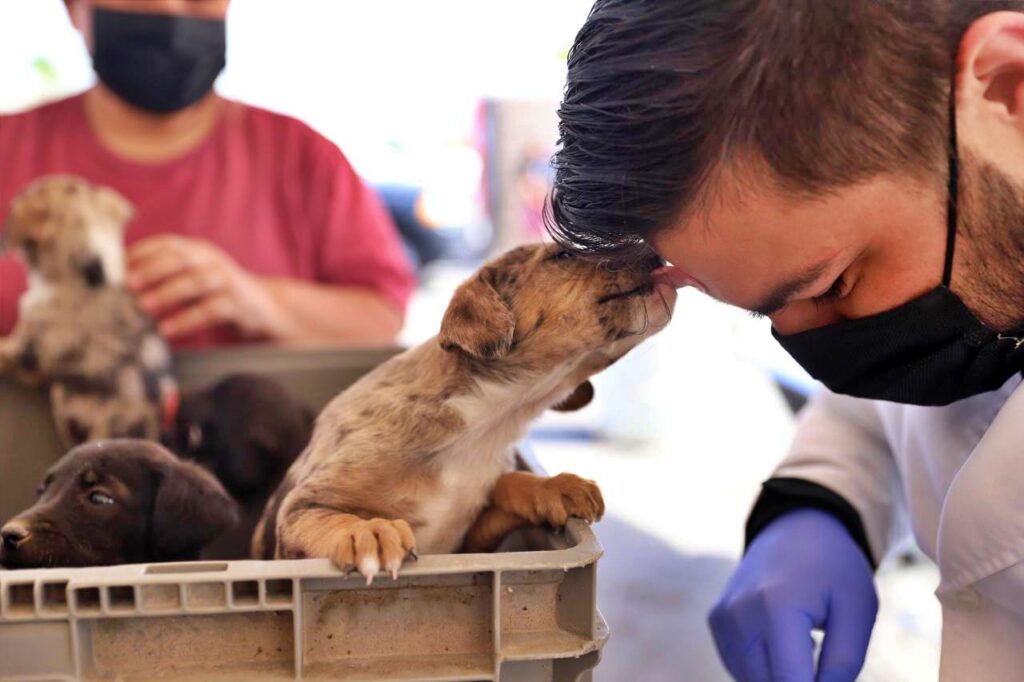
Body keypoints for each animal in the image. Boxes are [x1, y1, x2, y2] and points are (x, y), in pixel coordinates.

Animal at [252, 242, 675, 577]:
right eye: (564, 255)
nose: (656, 252)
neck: (491, 420)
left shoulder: (470, 543)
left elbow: (506, 482)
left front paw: (554, 486)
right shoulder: (301, 508)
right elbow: (329, 516)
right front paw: (367, 531)